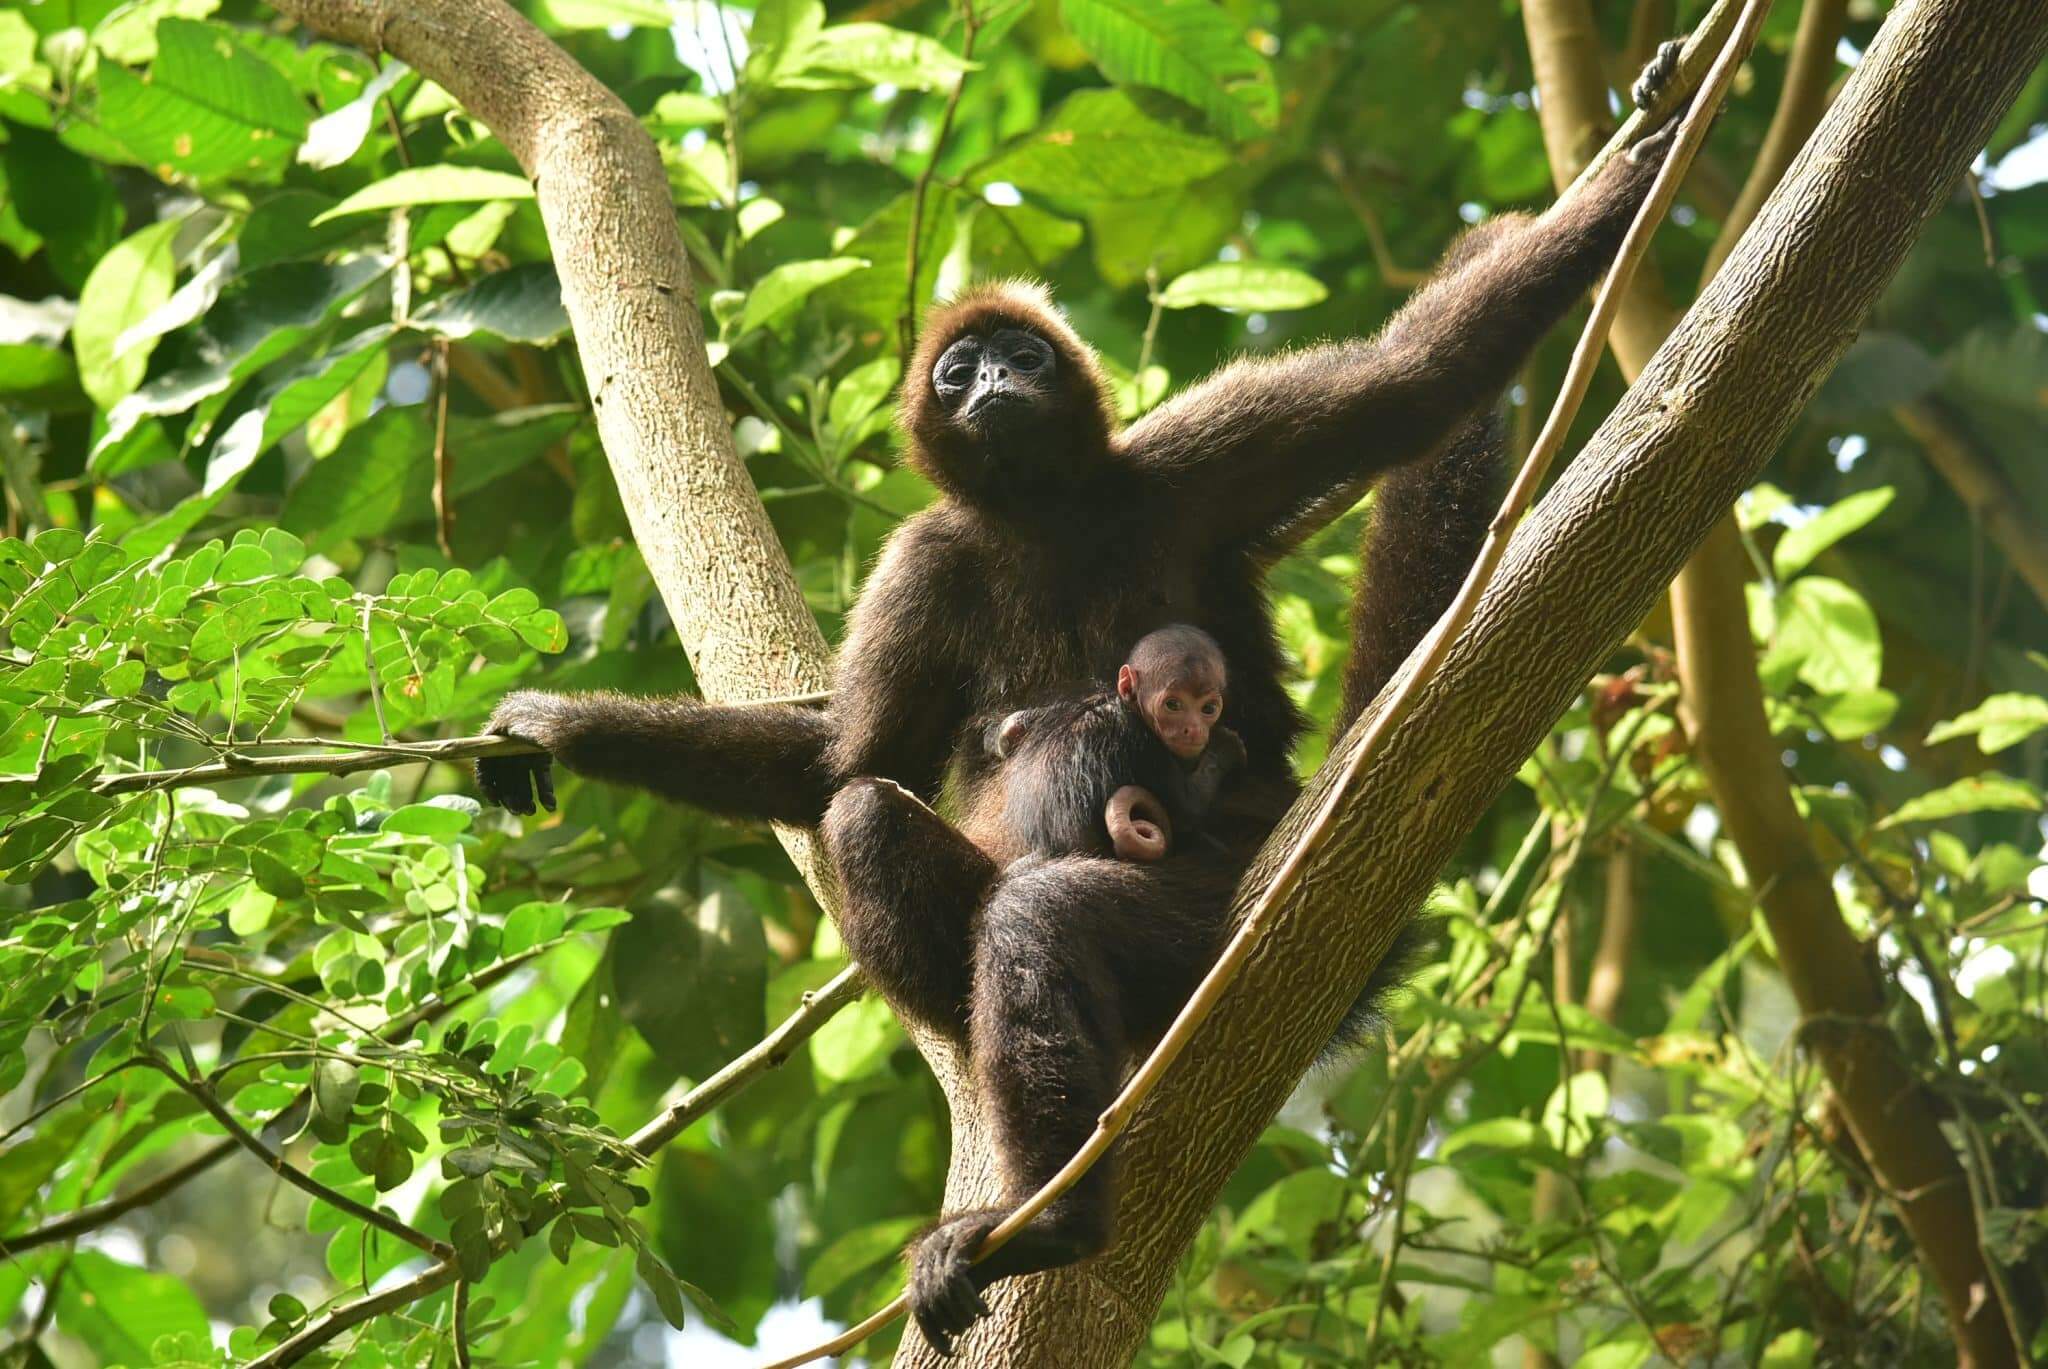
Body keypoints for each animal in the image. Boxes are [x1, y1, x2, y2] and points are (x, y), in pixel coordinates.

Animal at [986, 624, 1245, 864]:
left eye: (1208, 709)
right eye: (1173, 705)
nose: (1194, 729)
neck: (1128, 707)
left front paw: (1012, 729)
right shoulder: (1145, 748)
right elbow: (1189, 810)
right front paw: (1225, 747)